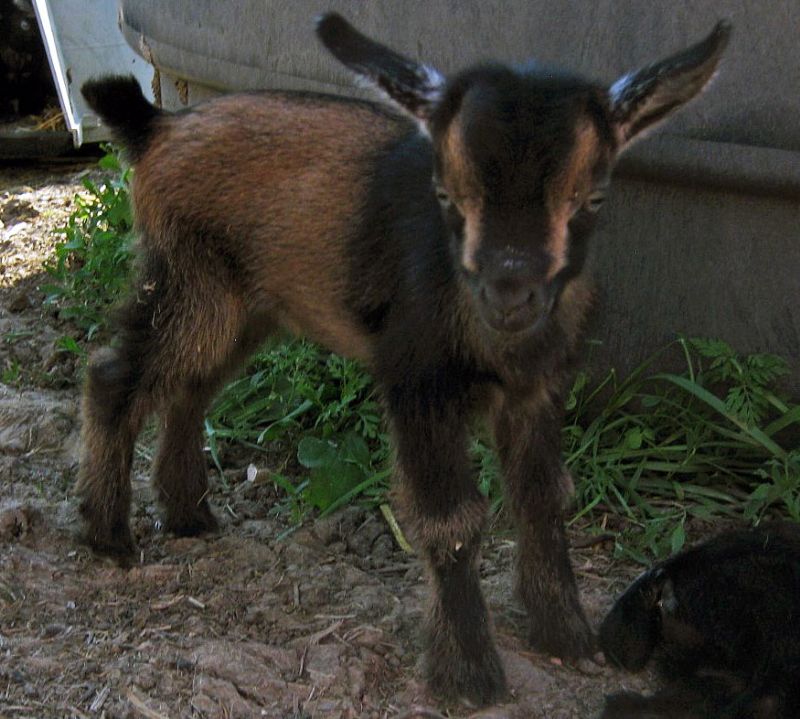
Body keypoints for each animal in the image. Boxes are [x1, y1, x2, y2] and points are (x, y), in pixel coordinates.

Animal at [77, 14, 730, 705]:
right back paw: (109, 534)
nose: (510, 293)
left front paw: (567, 637)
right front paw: (469, 675)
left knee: (192, 386)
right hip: (191, 281)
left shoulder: (538, 389)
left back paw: (187, 514)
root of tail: (158, 127)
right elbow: (452, 520)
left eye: (594, 198)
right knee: (116, 374)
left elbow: (544, 495)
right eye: (447, 194)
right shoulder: (418, 381)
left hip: (247, 305)